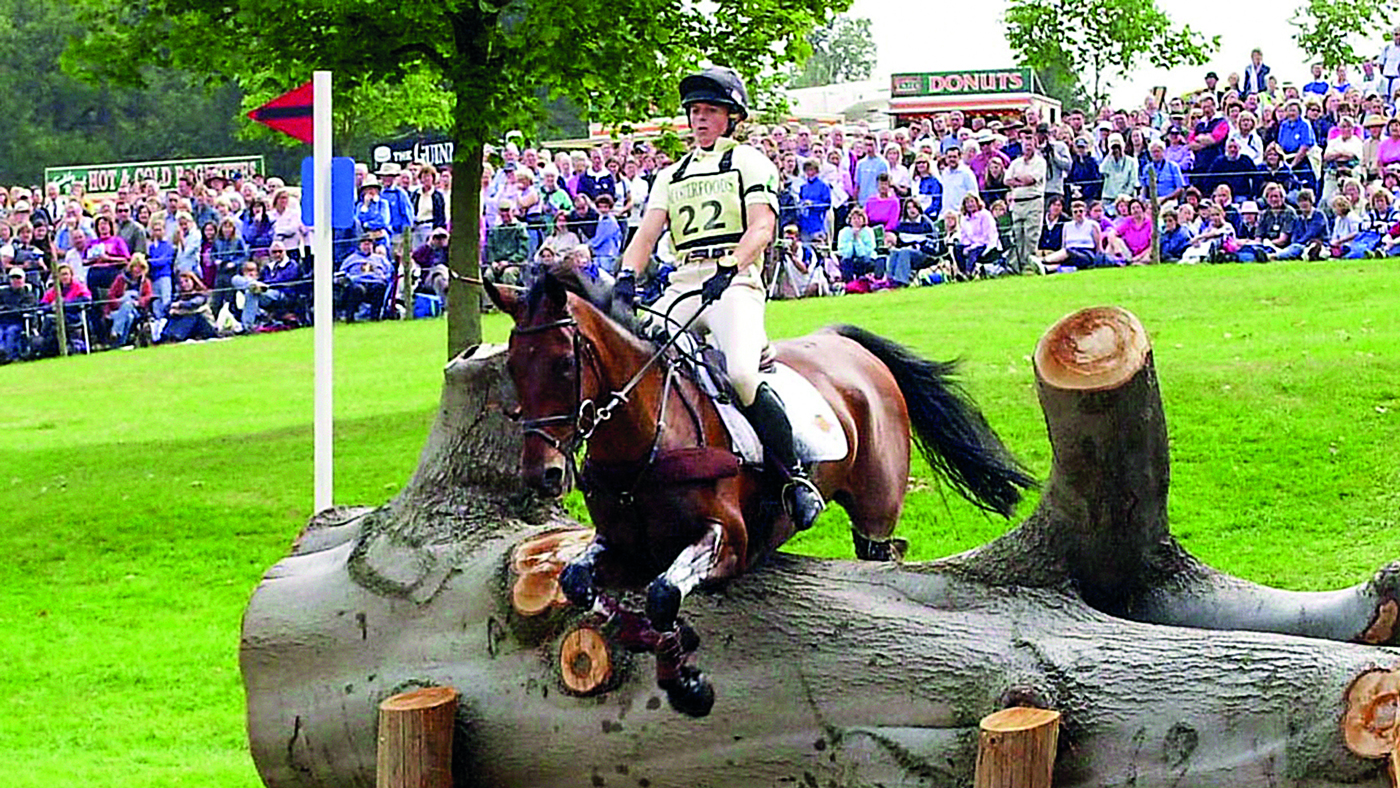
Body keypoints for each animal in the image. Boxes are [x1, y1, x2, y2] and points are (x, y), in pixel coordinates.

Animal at [486, 273, 1034, 716]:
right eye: (511, 366)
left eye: (563, 364)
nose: (543, 475)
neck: (643, 447)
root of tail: (842, 342)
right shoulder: (622, 546)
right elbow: (579, 582)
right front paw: (665, 639)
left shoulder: (727, 540)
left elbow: (664, 592)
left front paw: (687, 685)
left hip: (875, 511)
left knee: (882, 553)